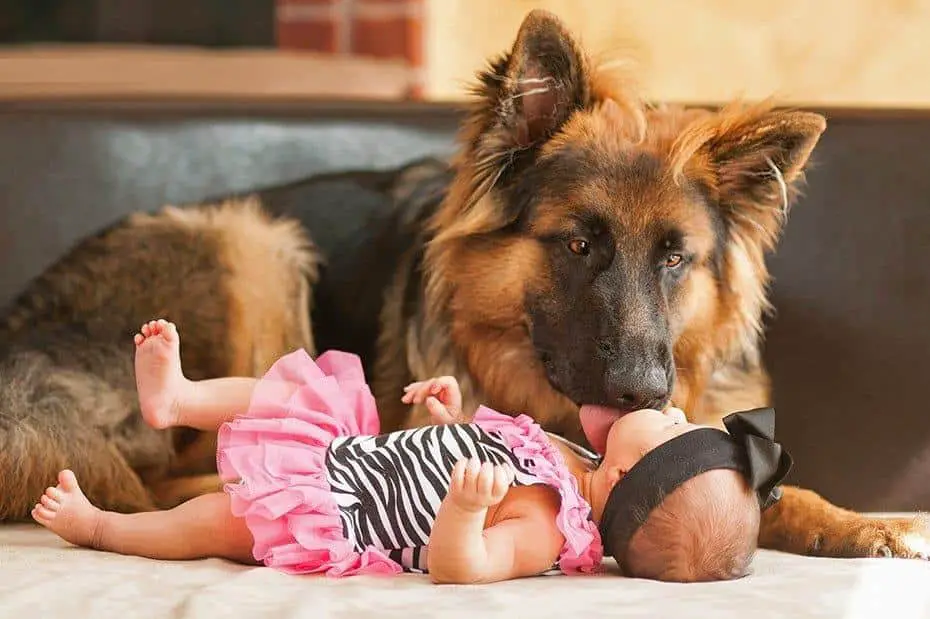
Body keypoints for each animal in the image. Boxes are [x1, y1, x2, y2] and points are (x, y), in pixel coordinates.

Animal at [0, 9, 924, 560]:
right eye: (577, 242)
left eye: (675, 258)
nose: (641, 391)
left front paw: (858, 520)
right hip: (252, 245)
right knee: (157, 473)